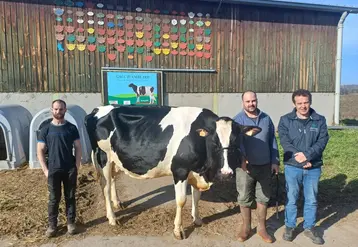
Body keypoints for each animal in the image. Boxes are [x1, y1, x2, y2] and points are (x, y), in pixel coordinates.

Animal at [84, 104, 260, 239]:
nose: (226, 173)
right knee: (105, 187)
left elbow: (196, 196)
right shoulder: (180, 170)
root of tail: (97, 109)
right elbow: (181, 200)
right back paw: (112, 218)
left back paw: (118, 203)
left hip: (115, 160)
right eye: (214, 141)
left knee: (113, 180)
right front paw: (178, 231)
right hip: (103, 157)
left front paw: (197, 219)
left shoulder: (196, 171)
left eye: (236, 141)